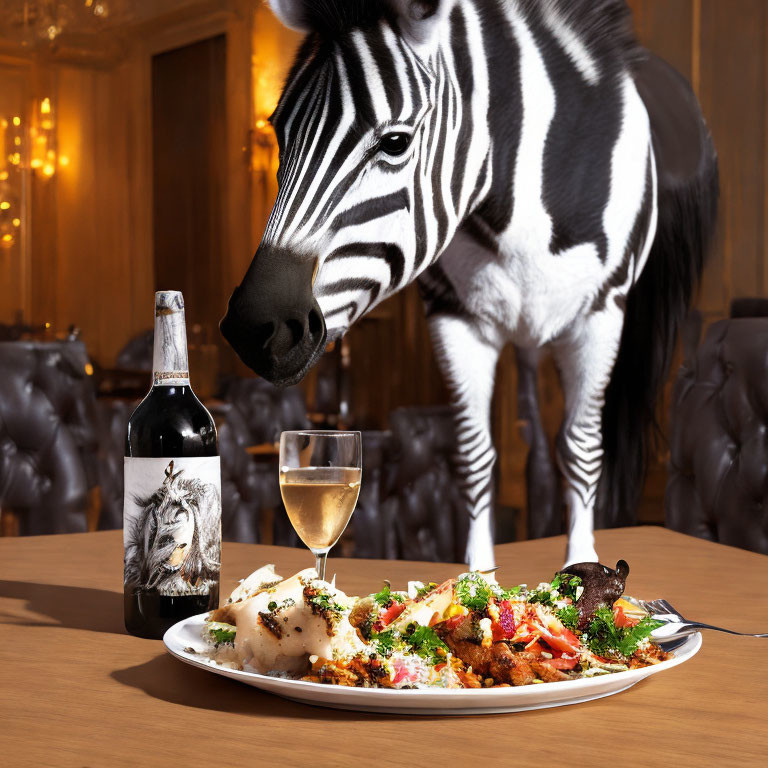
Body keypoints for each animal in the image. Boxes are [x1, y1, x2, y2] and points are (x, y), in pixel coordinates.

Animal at [219, 0, 716, 568]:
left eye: (395, 142)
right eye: (279, 132)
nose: (254, 327)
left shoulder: (600, 314)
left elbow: (582, 448)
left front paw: (579, 565)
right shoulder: (455, 315)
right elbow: (475, 453)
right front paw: (477, 574)